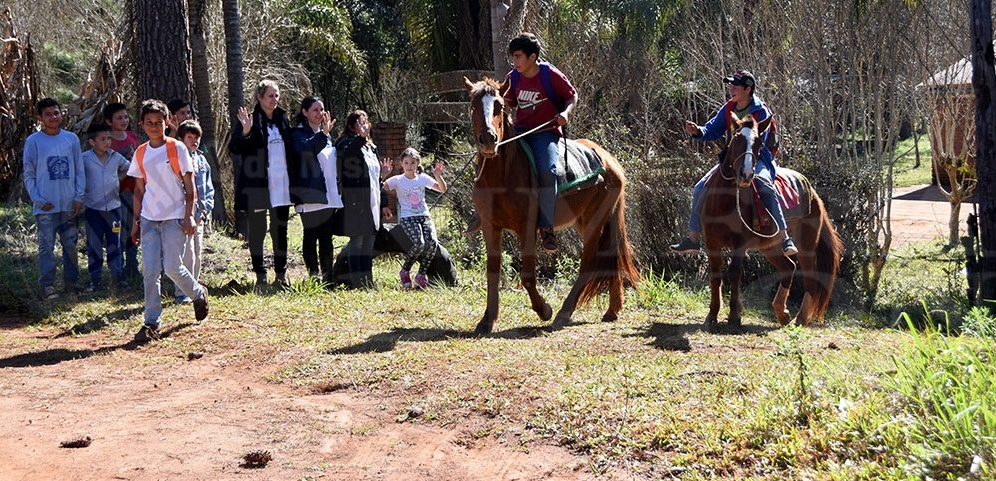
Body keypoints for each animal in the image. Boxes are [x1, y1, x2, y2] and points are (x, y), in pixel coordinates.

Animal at [464, 77, 640, 334]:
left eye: (499, 106)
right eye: (473, 106)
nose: (488, 139)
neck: (502, 178)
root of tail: (610, 162)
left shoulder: (527, 228)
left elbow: (527, 275)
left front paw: (543, 310)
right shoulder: (490, 226)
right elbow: (493, 271)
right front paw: (487, 320)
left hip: (594, 222)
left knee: (589, 264)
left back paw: (564, 312)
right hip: (586, 221)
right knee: (610, 255)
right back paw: (612, 310)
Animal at [699, 112, 843, 331]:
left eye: (759, 142)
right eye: (737, 138)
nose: (746, 174)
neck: (724, 202)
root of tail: (814, 194)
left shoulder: (739, 244)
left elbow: (734, 273)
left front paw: (734, 316)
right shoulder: (712, 243)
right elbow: (715, 276)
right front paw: (712, 316)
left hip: (806, 245)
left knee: (809, 278)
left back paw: (800, 318)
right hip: (770, 247)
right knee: (788, 268)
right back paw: (782, 313)